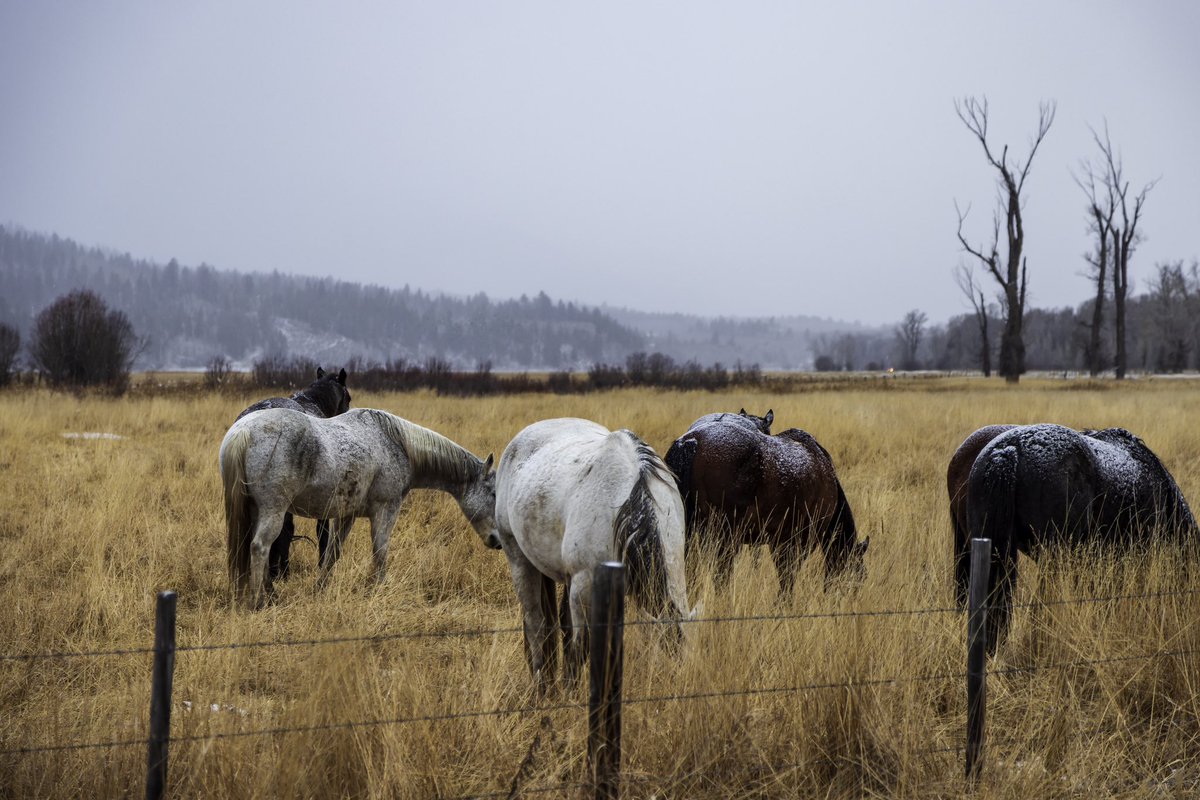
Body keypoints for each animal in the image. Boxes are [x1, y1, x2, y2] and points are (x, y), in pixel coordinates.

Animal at [220, 407, 499, 607]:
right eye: (494, 493)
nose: (497, 540)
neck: (398, 443)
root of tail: (243, 431)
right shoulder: (386, 510)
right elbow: (380, 551)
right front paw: (379, 589)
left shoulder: (347, 515)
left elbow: (332, 553)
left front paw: (320, 589)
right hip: (274, 511)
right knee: (260, 546)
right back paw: (259, 601)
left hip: (256, 510)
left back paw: (270, 595)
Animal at [494, 418, 693, 686]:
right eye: (668, 653)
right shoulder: (584, 586)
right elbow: (580, 648)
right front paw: (570, 691)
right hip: (519, 558)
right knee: (536, 622)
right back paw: (542, 684)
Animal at [664, 412, 866, 594]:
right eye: (858, 574)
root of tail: (693, 441)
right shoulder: (800, 541)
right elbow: (788, 576)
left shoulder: (778, 540)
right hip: (724, 537)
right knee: (721, 577)